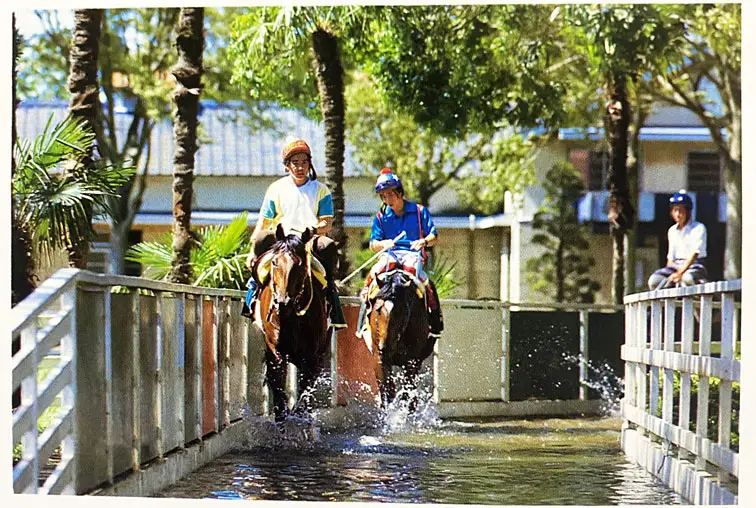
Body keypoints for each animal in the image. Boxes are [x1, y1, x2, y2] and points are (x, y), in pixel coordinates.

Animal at [255, 225, 330, 420]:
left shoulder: (311, 356)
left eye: (300, 265)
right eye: (274, 262)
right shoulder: (276, 352)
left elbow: (304, 396)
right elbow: (280, 400)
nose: (283, 302)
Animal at [368, 270, 438, 408]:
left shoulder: (412, 361)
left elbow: (407, 392)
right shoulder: (379, 358)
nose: (385, 346)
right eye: (378, 310)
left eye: (402, 312)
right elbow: (386, 391)